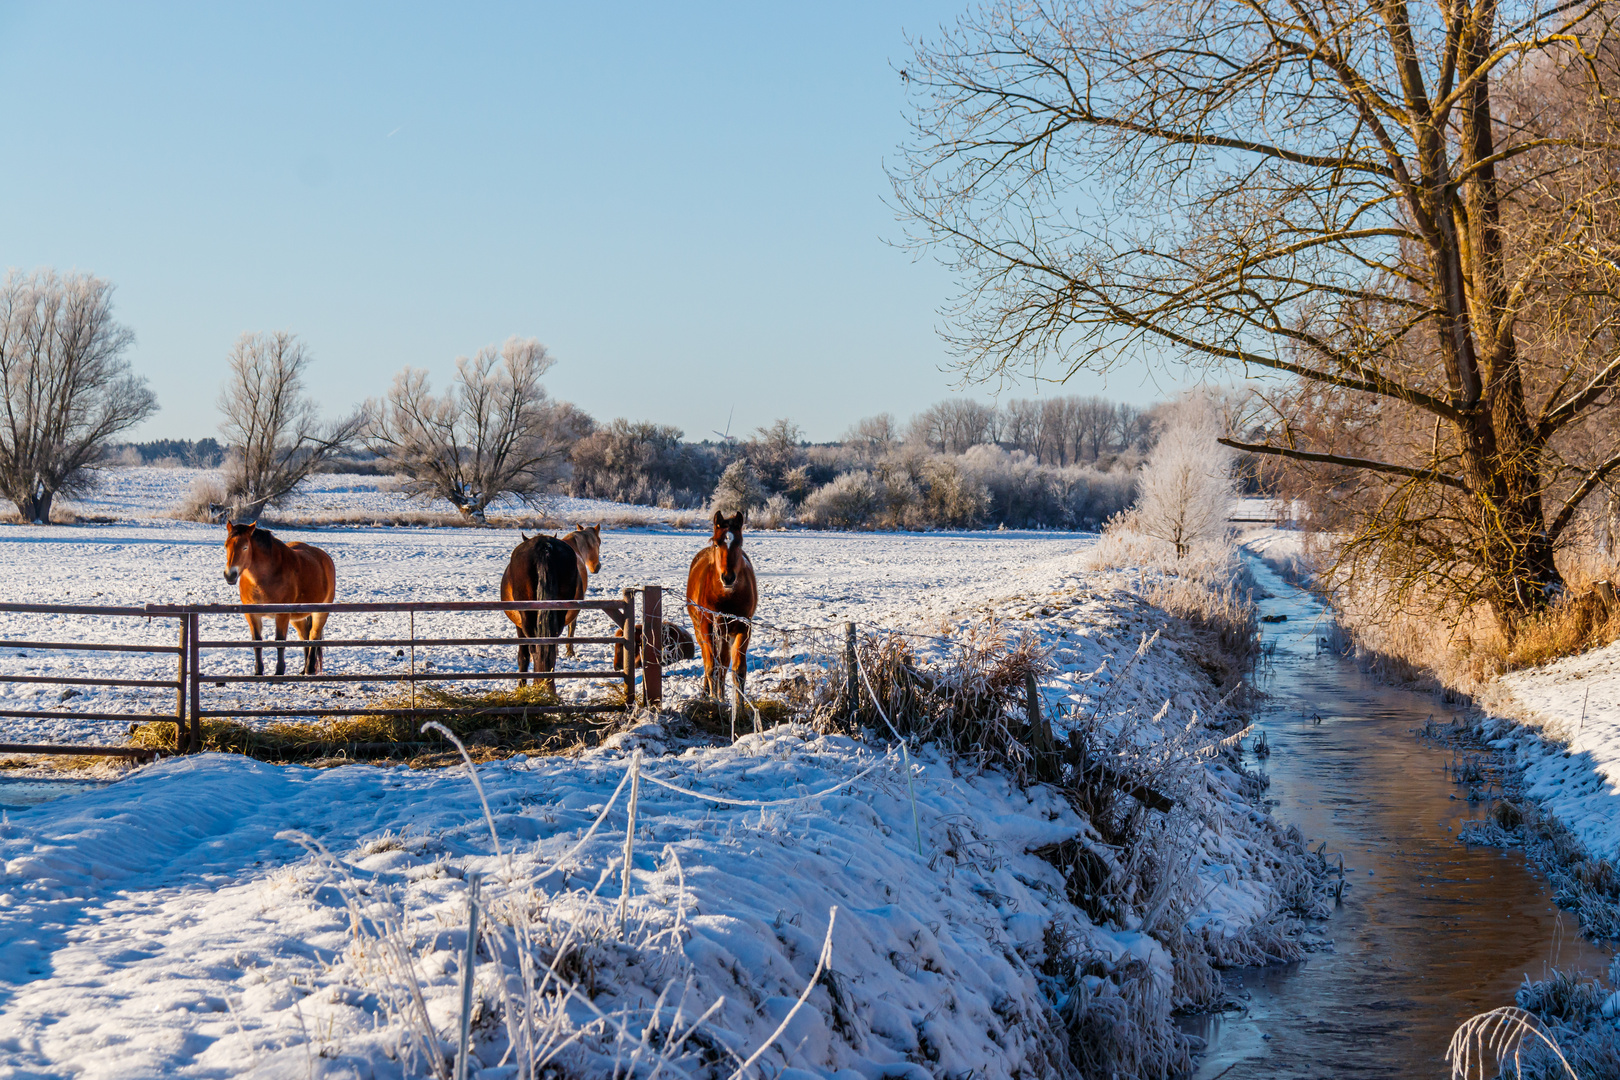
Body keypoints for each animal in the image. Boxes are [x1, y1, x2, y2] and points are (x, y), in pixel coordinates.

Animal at [223, 524, 336, 676]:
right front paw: (258, 671)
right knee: (304, 636)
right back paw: (304, 669)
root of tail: (324, 557)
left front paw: (279, 671)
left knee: (314, 635)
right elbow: (257, 642)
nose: (230, 575)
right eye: (226, 546)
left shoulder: (282, 615)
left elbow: (280, 642)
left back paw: (310, 669)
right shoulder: (252, 615)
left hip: (320, 612)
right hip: (297, 618)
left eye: (245, 547)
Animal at [505, 534, 589, 693]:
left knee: (534, 648)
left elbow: (523, 656)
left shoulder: (519, 626)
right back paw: (549, 686)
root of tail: (544, 547)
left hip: (527, 618)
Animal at [683, 514, 758, 702]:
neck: (726, 597)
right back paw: (707, 693)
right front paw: (713, 700)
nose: (728, 577)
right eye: (717, 544)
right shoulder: (706, 626)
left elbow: (737, 670)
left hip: (725, 632)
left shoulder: (743, 627)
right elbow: (711, 665)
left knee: (723, 662)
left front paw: (733, 703)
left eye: (739, 544)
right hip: (701, 629)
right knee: (709, 660)